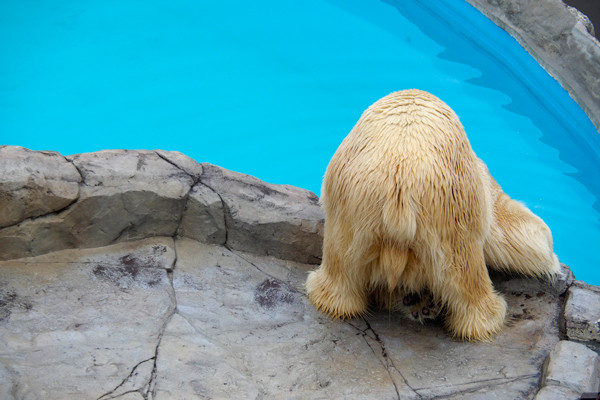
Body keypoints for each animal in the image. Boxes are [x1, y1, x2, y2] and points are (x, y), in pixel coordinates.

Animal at [308, 90, 560, 340]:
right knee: (466, 272)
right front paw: (550, 252)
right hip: (451, 217)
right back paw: (488, 314)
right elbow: (515, 234)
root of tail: (398, 192)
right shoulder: (479, 186)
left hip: (351, 218)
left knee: (342, 270)